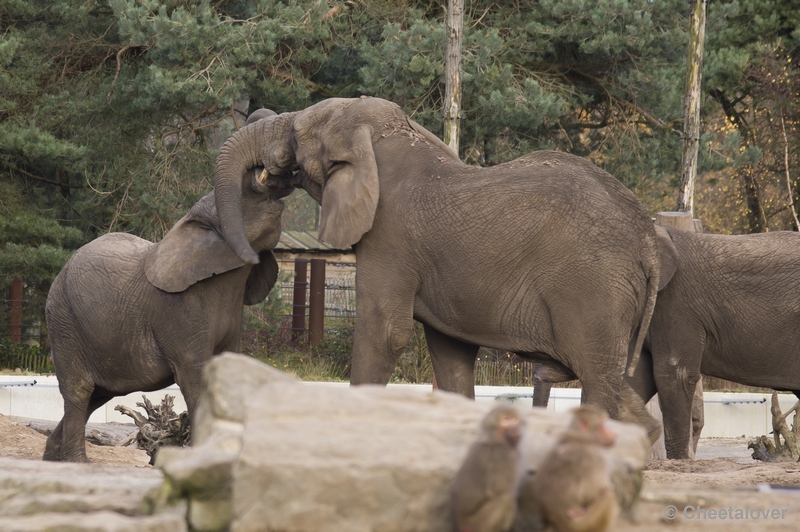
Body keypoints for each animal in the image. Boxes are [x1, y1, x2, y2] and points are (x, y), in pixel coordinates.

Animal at [44, 166, 294, 462]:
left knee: (97, 395)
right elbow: (195, 378)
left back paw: (51, 458)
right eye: (244, 194)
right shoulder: (179, 310)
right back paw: (77, 463)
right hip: (64, 322)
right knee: (80, 391)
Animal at [209, 95, 672, 420]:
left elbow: (385, 332)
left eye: (297, 132)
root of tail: (647, 243)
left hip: (594, 289)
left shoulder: (389, 238)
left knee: (598, 379)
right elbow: (451, 356)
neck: (385, 139)